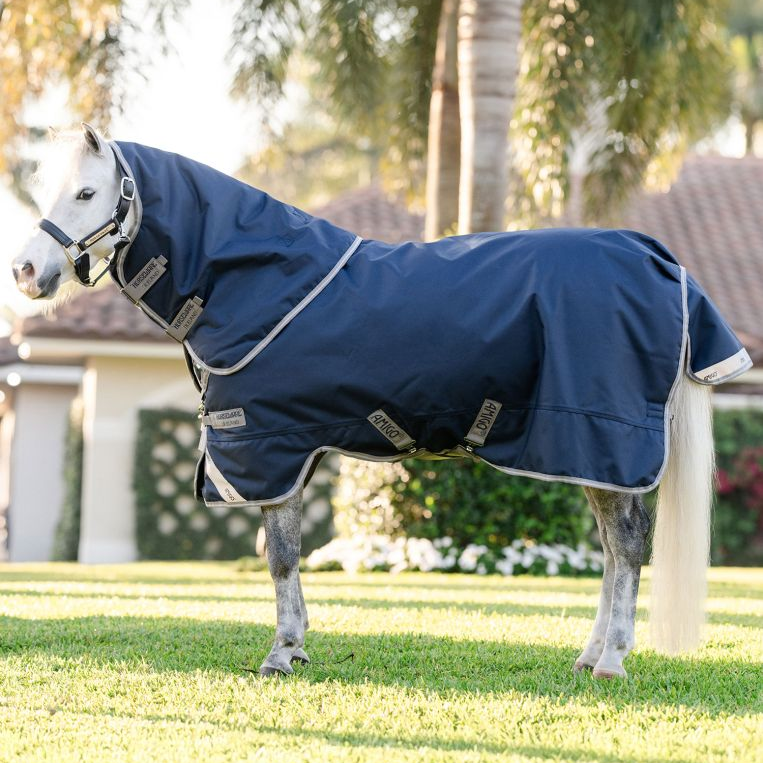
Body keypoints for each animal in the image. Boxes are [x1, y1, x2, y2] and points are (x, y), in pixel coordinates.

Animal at [11, 124, 751, 679]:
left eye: (87, 192)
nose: (24, 272)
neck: (253, 282)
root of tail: (661, 261)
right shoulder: (287, 452)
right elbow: (284, 555)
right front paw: (295, 647)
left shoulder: (268, 449)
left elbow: (279, 557)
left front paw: (281, 653)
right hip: (590, 455)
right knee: (611, 550)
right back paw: (590, 654)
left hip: (602, 441)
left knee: (625, 548)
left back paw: (611, 660)